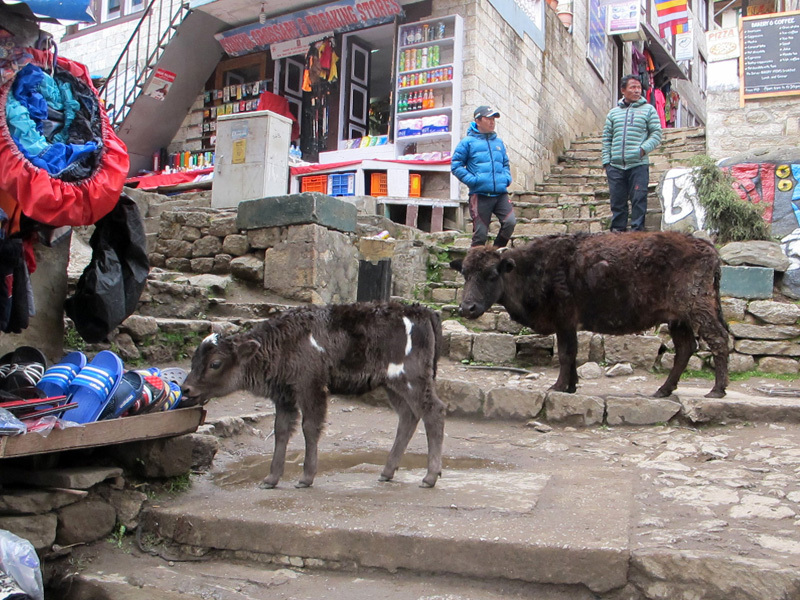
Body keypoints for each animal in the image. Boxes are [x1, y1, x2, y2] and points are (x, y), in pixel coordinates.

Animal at [181, 302, 446, 490]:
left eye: (215, 363)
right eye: (193, 359)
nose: (186, 389)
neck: (283, 342)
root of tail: (421, 310)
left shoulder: (310, 387)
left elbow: (310, 427)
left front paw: (306, 477)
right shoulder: (284, 395)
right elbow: (282, 430)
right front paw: (271, 478)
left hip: (412, 379)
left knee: (433, 411)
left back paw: (430, 476)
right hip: (392, 385)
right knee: (408, 416)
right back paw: (387, 472)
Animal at [450, 233, 732, 398]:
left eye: (491, 274)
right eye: (464, 273)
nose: (467, 308)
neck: (534, 267)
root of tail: (707, 246)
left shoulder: (564, 319)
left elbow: (566, 354)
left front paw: (558, 386)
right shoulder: (568, 324)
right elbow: (572, 354)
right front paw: (571, 386)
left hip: (698, 309)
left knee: (718, 340)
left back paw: (717, 390)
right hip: (677, 318)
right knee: (686, 348)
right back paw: (663, 390)